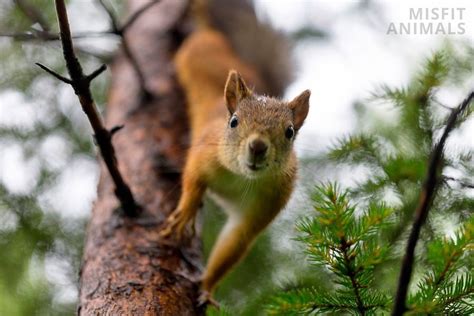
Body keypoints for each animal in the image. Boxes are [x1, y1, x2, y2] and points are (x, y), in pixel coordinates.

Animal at [159, 0, 312, 306]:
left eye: (290, 132)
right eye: (234, 122)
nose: (257, 147)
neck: (241, 177)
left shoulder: (266, 204)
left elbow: (233, 244)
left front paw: (207, 287)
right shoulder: (205, 152)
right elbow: (193, 180)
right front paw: (186, 213)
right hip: (198, 51)